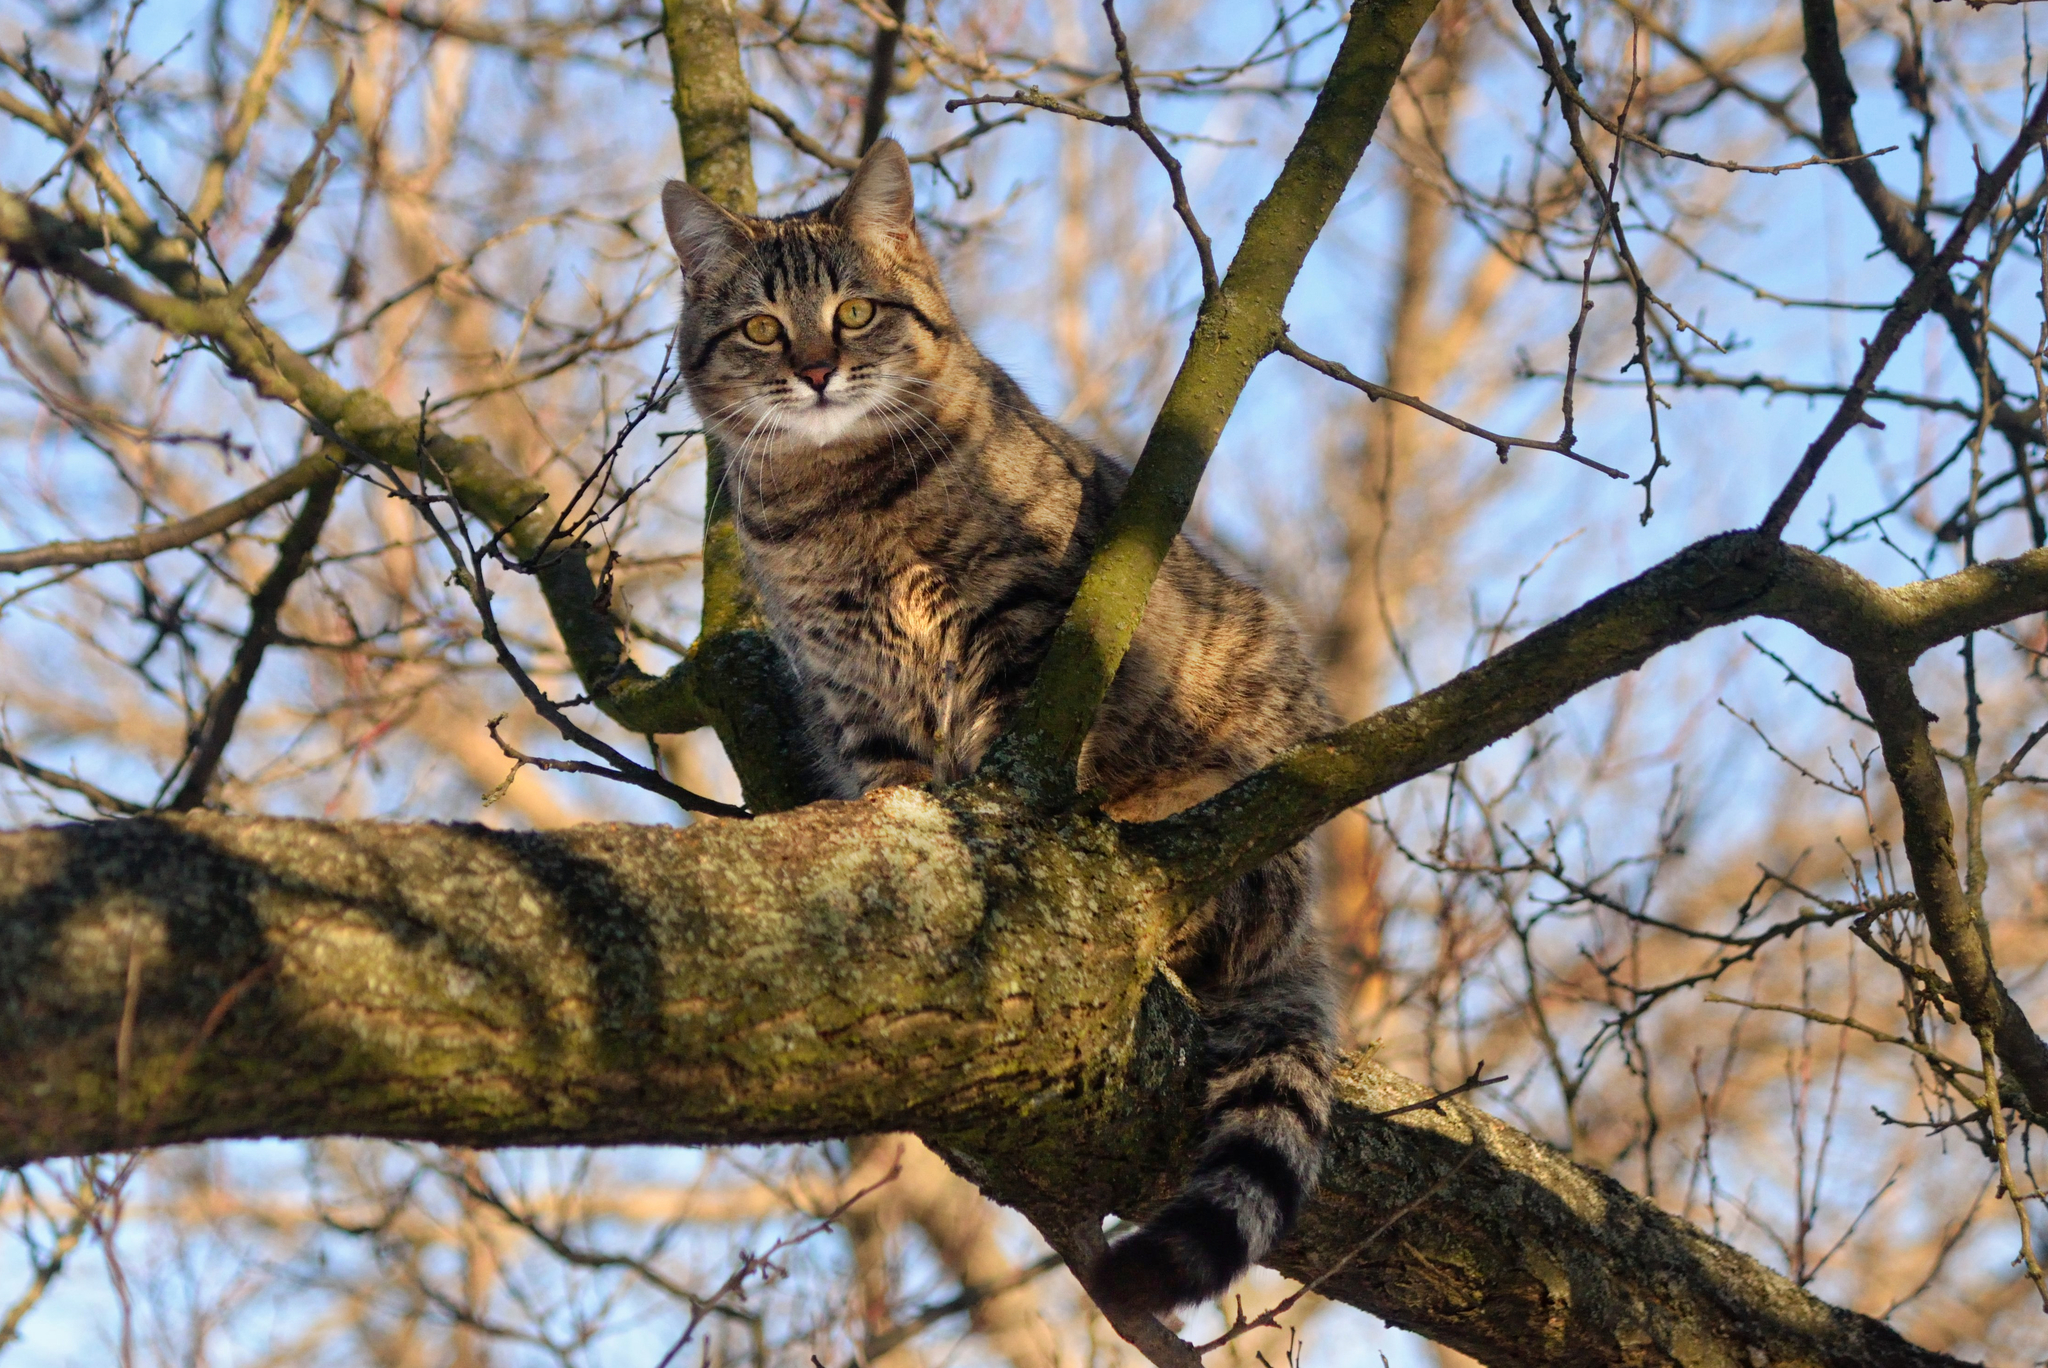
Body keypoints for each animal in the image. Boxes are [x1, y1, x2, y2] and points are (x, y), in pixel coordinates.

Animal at [663, 139, 1343, 1310]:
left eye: (852, 313)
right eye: (759, 328)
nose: (815, 371)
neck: (836, 495)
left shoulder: (1027, 633)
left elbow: (1007, 757)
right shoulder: (852, 696)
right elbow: (895, 788)